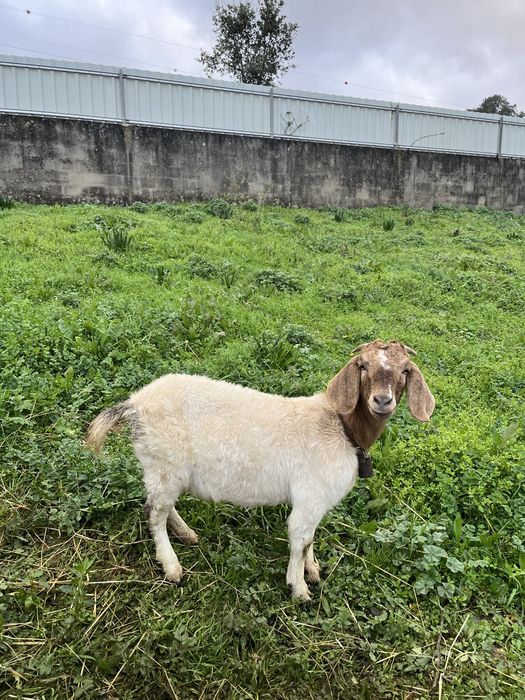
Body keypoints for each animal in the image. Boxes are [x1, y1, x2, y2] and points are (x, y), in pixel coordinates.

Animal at [86, 339, 434, 600]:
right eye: (362, 366)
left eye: (405, 370)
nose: (382, 400)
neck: (341, 428)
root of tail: (135, 404)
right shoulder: (311, 494)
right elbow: (299, 538)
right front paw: (299, 589)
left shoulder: (316, 501)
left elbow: (310, 539)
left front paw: (313, 570)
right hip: (164, 460)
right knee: (154, 512)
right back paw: (172, 566)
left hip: (166, 469)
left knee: (162, 505)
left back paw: (187, 535)